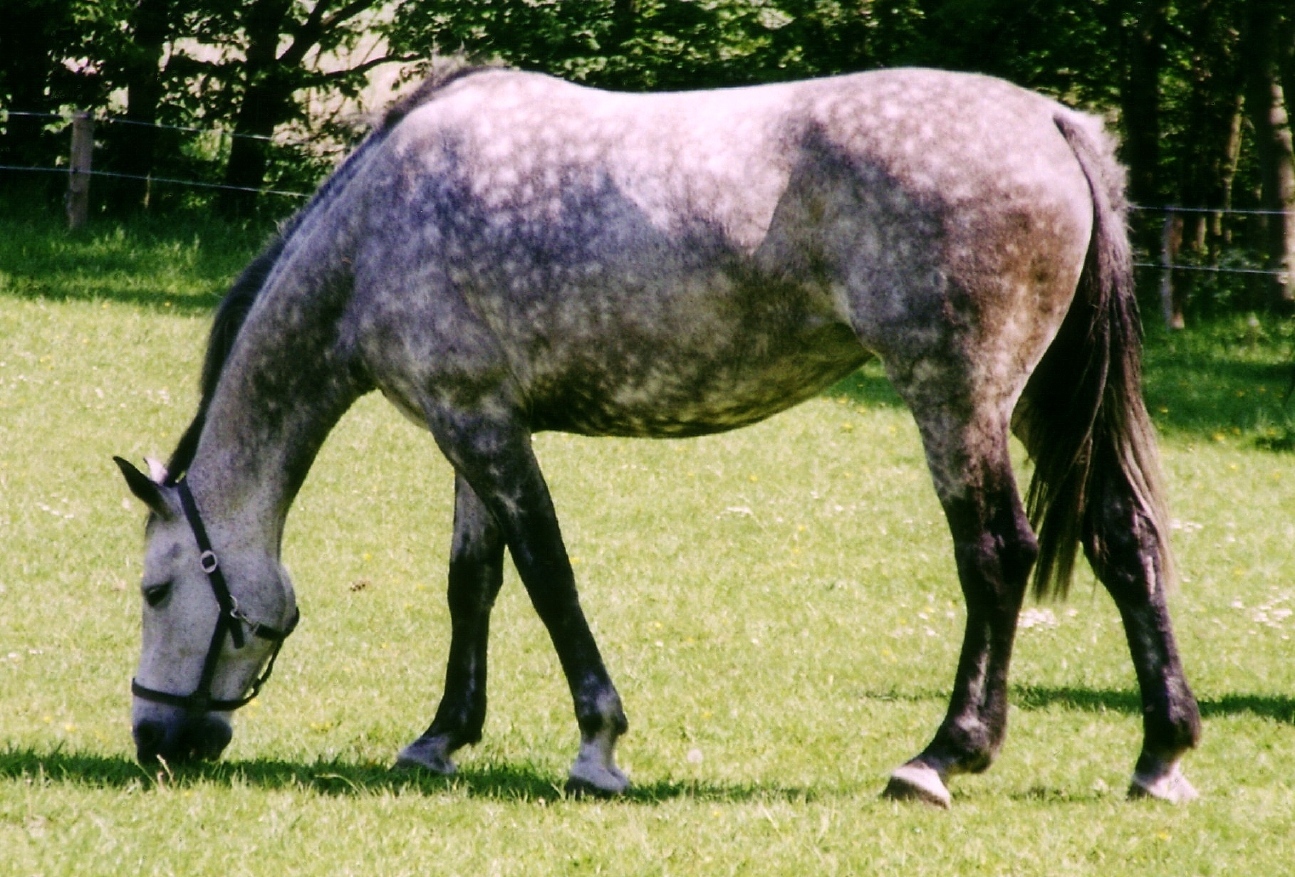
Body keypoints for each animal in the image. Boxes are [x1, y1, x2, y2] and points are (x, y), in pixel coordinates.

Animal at [116, 61, 1196, 803]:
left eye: (156, 587)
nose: (155, 740)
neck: (376, 227)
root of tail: (1049, 120)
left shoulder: (486, 432)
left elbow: (548, 578)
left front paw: (597, 746)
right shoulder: (471, 426)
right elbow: (474, 584)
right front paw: (440, 738)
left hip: (956, 398)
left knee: (995, 553)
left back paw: (942, 755)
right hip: (1046, 400)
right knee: (1124, 540)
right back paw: (1160, 755)